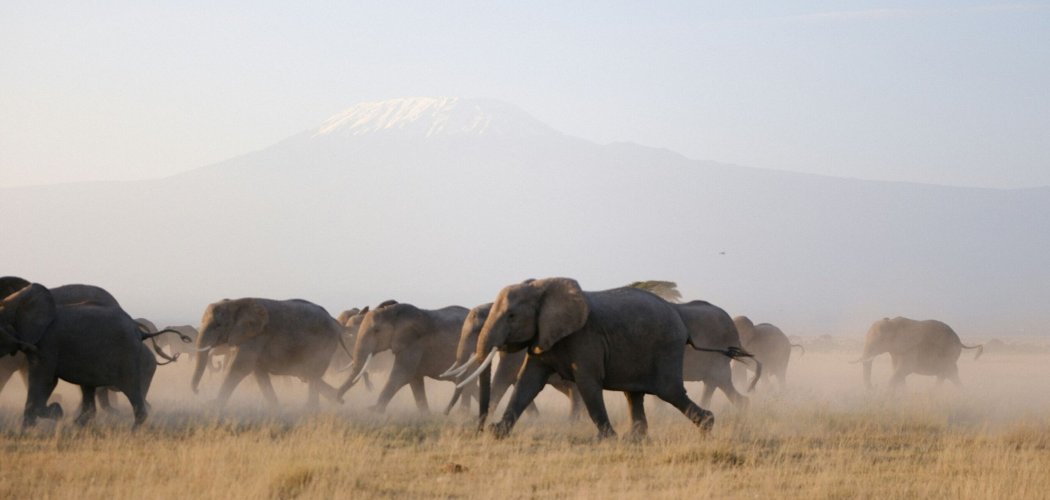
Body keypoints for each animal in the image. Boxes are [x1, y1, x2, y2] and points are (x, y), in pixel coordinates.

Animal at [0, 284, 162, 428]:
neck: (15, 300)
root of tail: (138, 330)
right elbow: (49, 381)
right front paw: (31, 426)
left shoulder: (48, 343)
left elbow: (43, 379)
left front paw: (55, 412)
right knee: (89, 389)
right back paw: (77, 425)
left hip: (127, 355)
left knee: (131, 389)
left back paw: (133, 432)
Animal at [336, 301, 474, 413]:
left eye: (376, 331)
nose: (340, 400)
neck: (392, 313)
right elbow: (415, 380)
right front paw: (426, 416)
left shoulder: (414, 343)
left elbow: (402, 374)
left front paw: (374, 410)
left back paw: (463, 415)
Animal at [441, 303, 582, 420]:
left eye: (476, 331)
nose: (445, 413)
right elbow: (517, 381)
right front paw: (535, 418)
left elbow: (504, 376)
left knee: (574, 393)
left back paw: (574, 423)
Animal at [458, 277, 714, 439]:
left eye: (511, 316)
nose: (479, 430)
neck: (542, 287)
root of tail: (680, 318)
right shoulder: (543, 335)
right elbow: (527, 382)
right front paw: (498, 434)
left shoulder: (586, 337)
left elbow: (588, 382)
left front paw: (608, 439)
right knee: (633, 394)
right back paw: (635, 438)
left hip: (665, 347)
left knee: (668, 390)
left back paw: (707, 426)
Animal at [854, 316, 984, 389]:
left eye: (879, 341)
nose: (874, 387)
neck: (892, 323)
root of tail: (960, 341)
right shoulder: (896, 350)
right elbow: (897, 371)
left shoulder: (910, 349)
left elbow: (903, 370)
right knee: (951, 374)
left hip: (950, 353)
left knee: (945, 374)